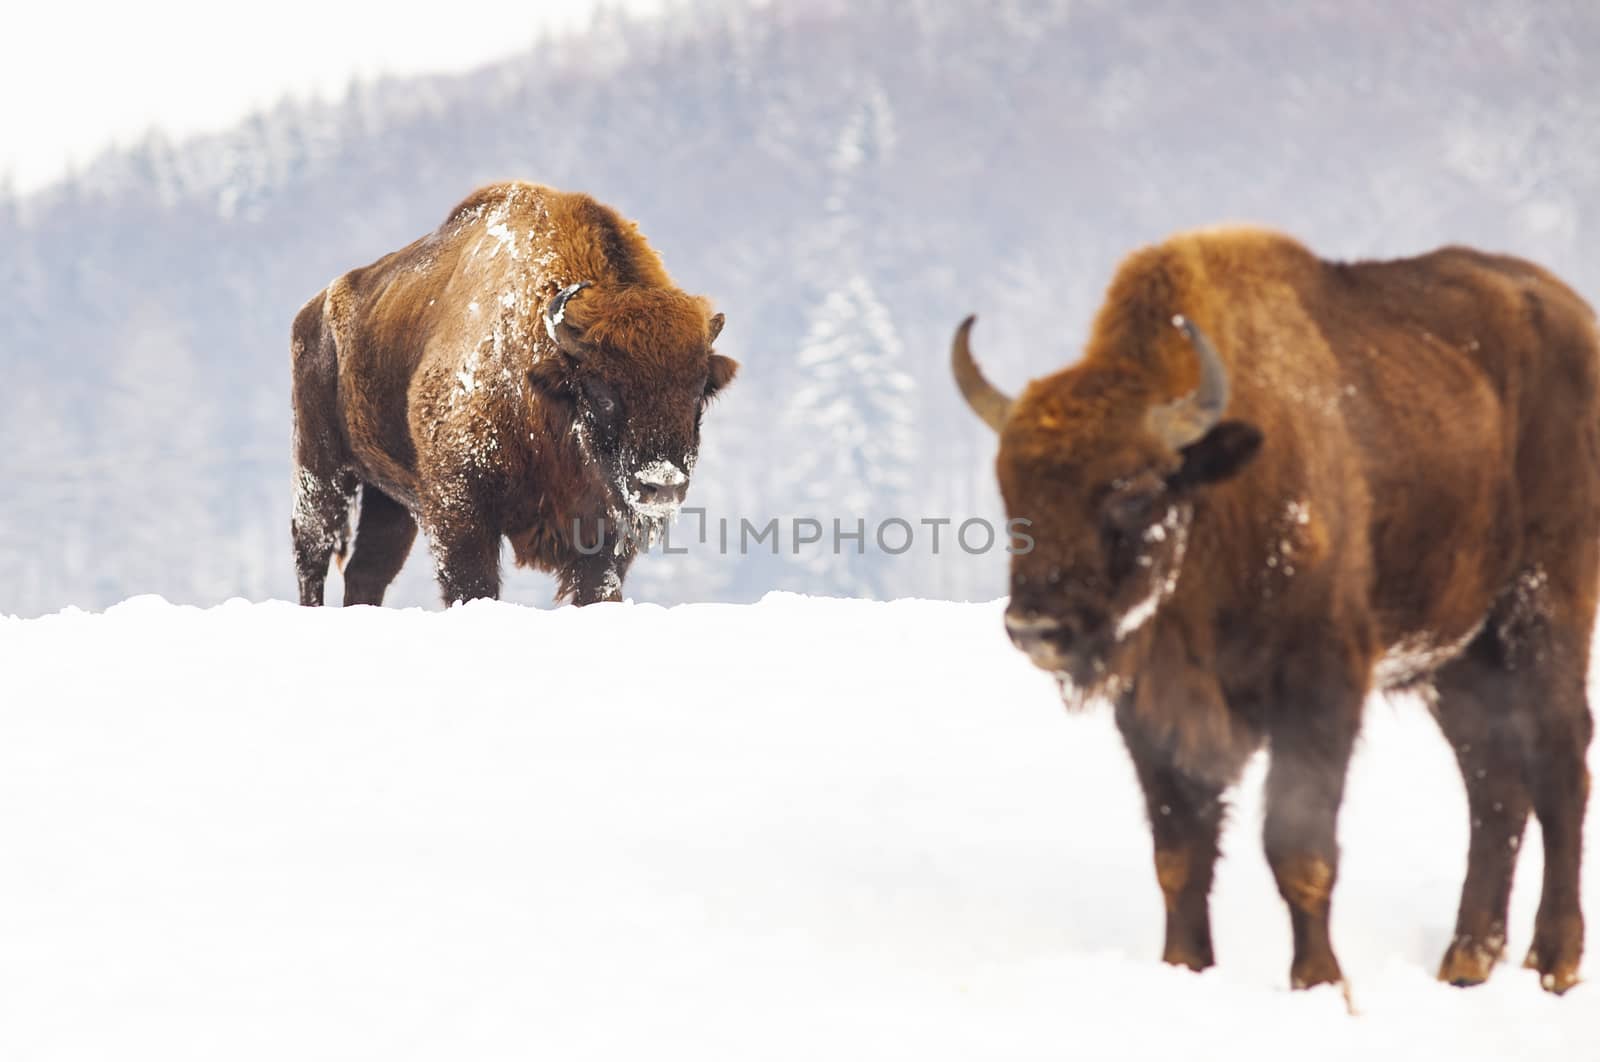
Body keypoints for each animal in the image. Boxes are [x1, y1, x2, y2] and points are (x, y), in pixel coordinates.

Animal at [289, 180, 736, 604]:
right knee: (312, 553)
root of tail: (312, 310)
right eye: (602, 393)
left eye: (697, 394)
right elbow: (473, 585)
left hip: (390, 500)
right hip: (321, 469)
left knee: (368, 572)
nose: (663, 485)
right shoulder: (460, 512)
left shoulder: (605, 535)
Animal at [953, 225, 1593, 998]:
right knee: (1493, 781)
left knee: (1559, 764)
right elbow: (1180, 853)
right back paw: (1465, 961)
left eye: (1132, 491)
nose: (1035, 627)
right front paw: (1186, 969)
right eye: (1011, 493)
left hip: (1544, 610)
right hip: (1459, 656)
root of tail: (1576, 319)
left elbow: (1297, 850)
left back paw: (1553, 963)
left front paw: (1320, 984)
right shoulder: (1154, 712)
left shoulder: (1319, 690)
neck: (1216, 495)